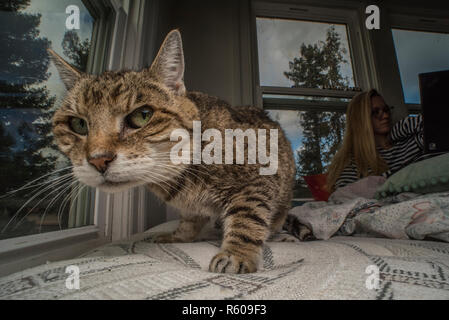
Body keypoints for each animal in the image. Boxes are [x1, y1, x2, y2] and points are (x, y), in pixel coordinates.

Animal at [49, 30, 296, 274]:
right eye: (78, 124)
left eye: (142, 116)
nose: (99, 160)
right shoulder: (191, 209)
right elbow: (189, 221)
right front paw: (180, 236)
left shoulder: (257, 178)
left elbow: (247, 216)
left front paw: (236, 253)